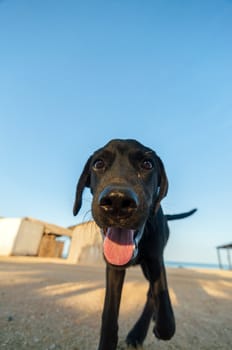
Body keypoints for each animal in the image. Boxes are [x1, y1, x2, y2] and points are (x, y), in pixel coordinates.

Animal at [73, 139, 197, 350]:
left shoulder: (156, 259)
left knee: (151, 295)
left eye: (147, 164)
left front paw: (157, 326)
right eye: (98, 163)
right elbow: (109, 314)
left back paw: (138, 332)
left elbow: (166, 320)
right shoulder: (114, 268)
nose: (117, 201)